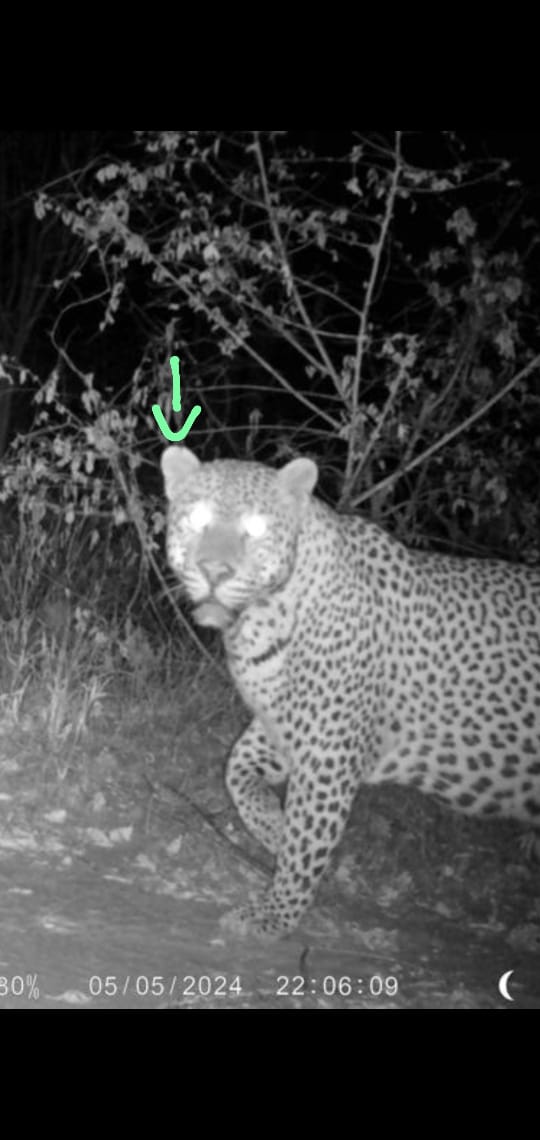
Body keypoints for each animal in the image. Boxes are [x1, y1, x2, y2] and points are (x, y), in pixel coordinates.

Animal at [161, 444, 540, 941]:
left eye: (256, 528)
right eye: (198, 519)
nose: (214, 571)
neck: (258, 622)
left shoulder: (328, 755)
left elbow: (306, 843)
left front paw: (275, 914)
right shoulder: (280, 731)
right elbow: (237, 772)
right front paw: (274, 830)